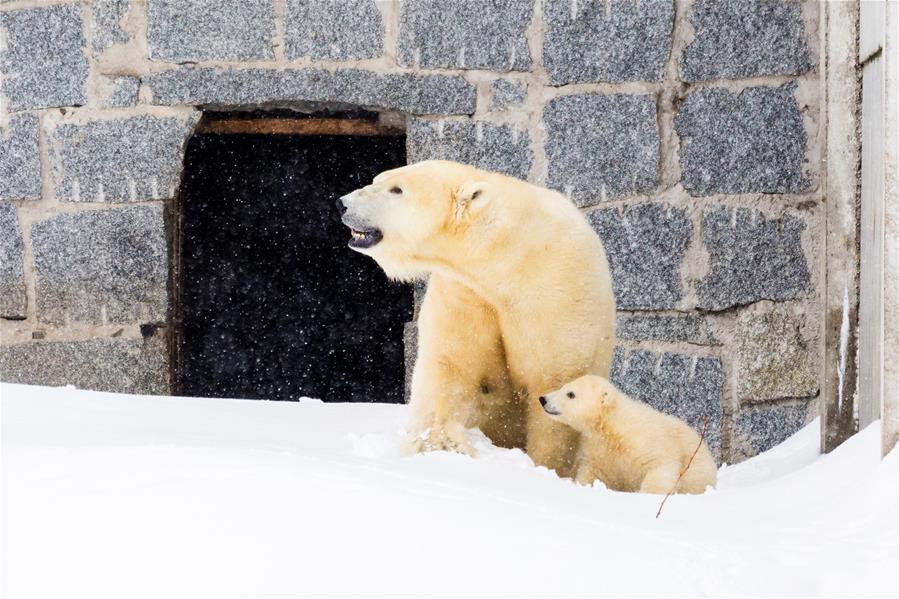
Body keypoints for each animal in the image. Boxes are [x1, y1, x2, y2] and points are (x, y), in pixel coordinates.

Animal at [338, 161, 620, 478]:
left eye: (396, 189)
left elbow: (554, 382)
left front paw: (545, 467)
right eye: (378, 179)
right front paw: (440, 447)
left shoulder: (558, 293)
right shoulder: (466, 292)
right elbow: (451, 364)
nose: (342, 203)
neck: (510, 257)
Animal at [540, 378, 716, 494]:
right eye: (563, 387)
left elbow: (660, 465)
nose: (543, 399)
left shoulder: (643, 438)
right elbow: (593, 473)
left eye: (571, 394)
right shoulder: (598, 449)